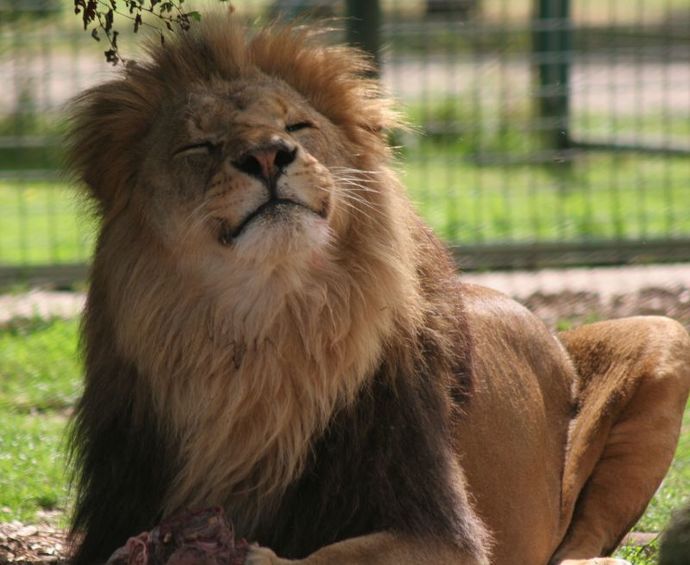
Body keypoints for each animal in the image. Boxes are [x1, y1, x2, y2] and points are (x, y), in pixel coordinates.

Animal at [65, 16, 690, 565]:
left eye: (297, 127)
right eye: (198, 146)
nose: (267, 154)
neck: (267, 342)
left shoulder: (441, 531)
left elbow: (319, 559)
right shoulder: (118, 508)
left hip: (662, 335)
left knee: (585, 536)